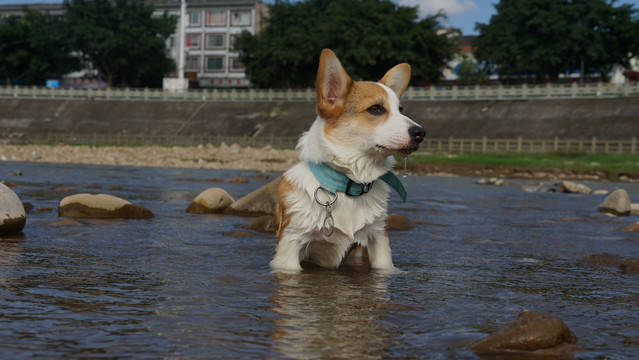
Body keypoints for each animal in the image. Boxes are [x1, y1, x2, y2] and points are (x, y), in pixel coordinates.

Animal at [270, 48, 424, 272]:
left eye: (401, 110)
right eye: (375, 109)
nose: (421, 133)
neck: (349, 184)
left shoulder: (378, 237)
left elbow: (383, 265)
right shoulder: (289, 247)